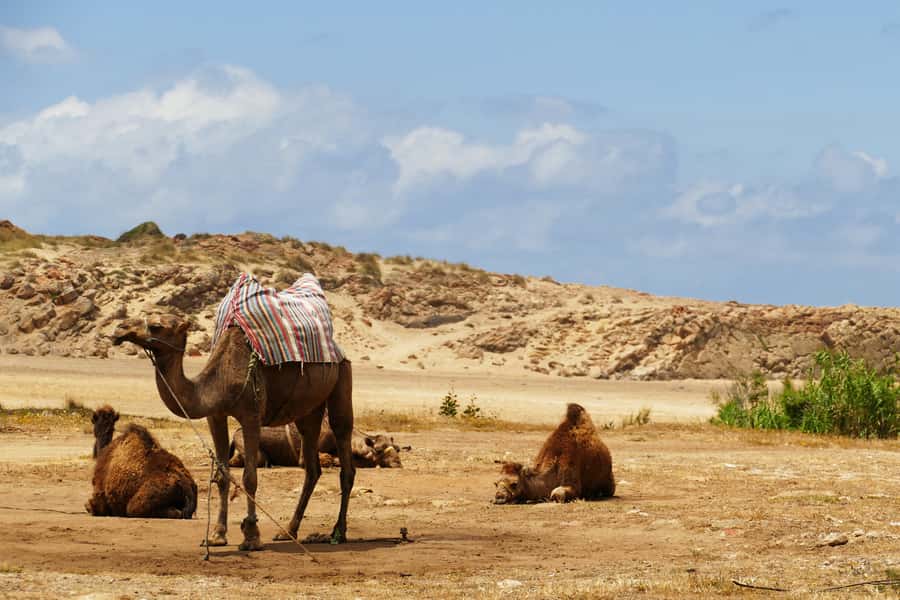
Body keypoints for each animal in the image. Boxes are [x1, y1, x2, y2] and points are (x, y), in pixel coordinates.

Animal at [112, 314, 355, 551]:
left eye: (156, 325)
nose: (119, 329)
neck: (219, 381)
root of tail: (337, 349)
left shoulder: (251, 416)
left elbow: (250, 478)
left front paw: (251, 537)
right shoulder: (216, 416)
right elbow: (222, 476)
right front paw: (216, 536)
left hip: (342, 376)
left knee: (344, 447)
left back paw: (337, 532)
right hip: (308, 410)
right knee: (312, 467)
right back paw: (289, 531)